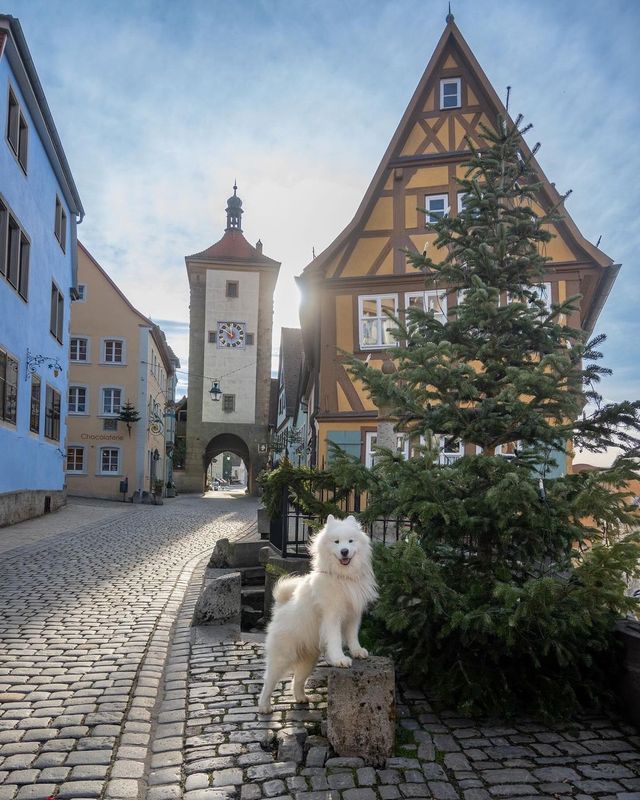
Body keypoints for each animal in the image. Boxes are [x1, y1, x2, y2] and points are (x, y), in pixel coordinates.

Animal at [258, 516, 378, 716]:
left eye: (350, 541)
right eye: (336, 542)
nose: (344, 551)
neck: (342, 577)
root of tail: (280, 606)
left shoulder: (353, 616)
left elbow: (352, 637)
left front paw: (357, 651)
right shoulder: (332, 616)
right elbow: (335, 640)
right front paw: (339, 659)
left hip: (308, 660)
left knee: (297, 680)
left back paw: (301, 698)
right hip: (283, 656)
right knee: (269, 681)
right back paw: (264, 706)